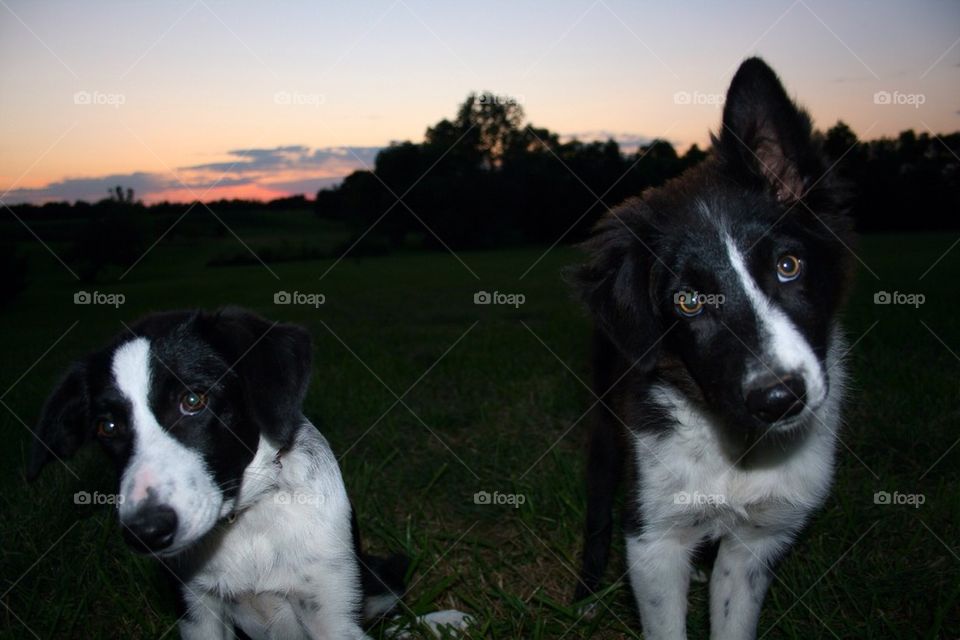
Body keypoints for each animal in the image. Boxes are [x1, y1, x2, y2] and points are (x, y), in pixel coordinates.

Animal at [29, 308, 464, 636]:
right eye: (107, 427)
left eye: (193, 400)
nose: (146, 532)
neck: (246, 521)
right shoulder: (198, 612)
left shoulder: (331, 611)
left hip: (380, 571)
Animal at [568, 56, 856, 640]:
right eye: (688, 302)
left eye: (788, 265)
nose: (779, 398)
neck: (735, 443)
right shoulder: (653, 536)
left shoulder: (758, 540)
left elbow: (732, 617)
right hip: (606, 424)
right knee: (598, 507)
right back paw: (586, 593)